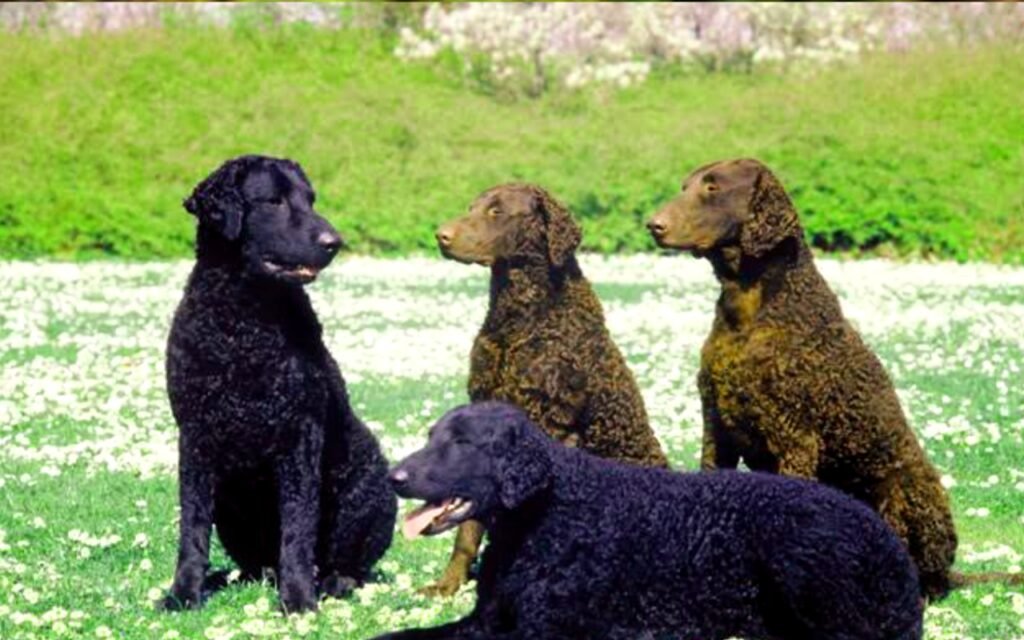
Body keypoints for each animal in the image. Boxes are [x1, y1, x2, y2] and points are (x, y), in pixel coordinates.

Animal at [162, 155, 395, 614]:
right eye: (274, 201)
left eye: (311, 199)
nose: (334, 241)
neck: (243, 324)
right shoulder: (194, 438)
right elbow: (192, 529)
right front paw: (183, 593)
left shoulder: (299, 436)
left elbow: (298, 529)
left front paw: (299, 600)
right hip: (229, 502)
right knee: (255, 563)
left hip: (368, 485)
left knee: (350, 565)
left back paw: (330, 582)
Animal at [380, 399, 925, 638]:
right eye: (431, 436)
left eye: (461, 442)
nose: (393, 476)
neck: (545, 513)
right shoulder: (486, 621)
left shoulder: (543, 629)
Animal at [419, 182, 667, 598]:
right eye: (472, 207)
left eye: (496, 211)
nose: (441, 235)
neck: (519, 320)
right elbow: (467, 529)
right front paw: (449, 584)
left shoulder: (553, 423)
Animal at [647, 158, 958, 598]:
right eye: (685, 187)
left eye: (712, 187)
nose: (652, 225)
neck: (749, 309)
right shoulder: (717, 426)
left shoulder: (795, 437)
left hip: (911, 489)